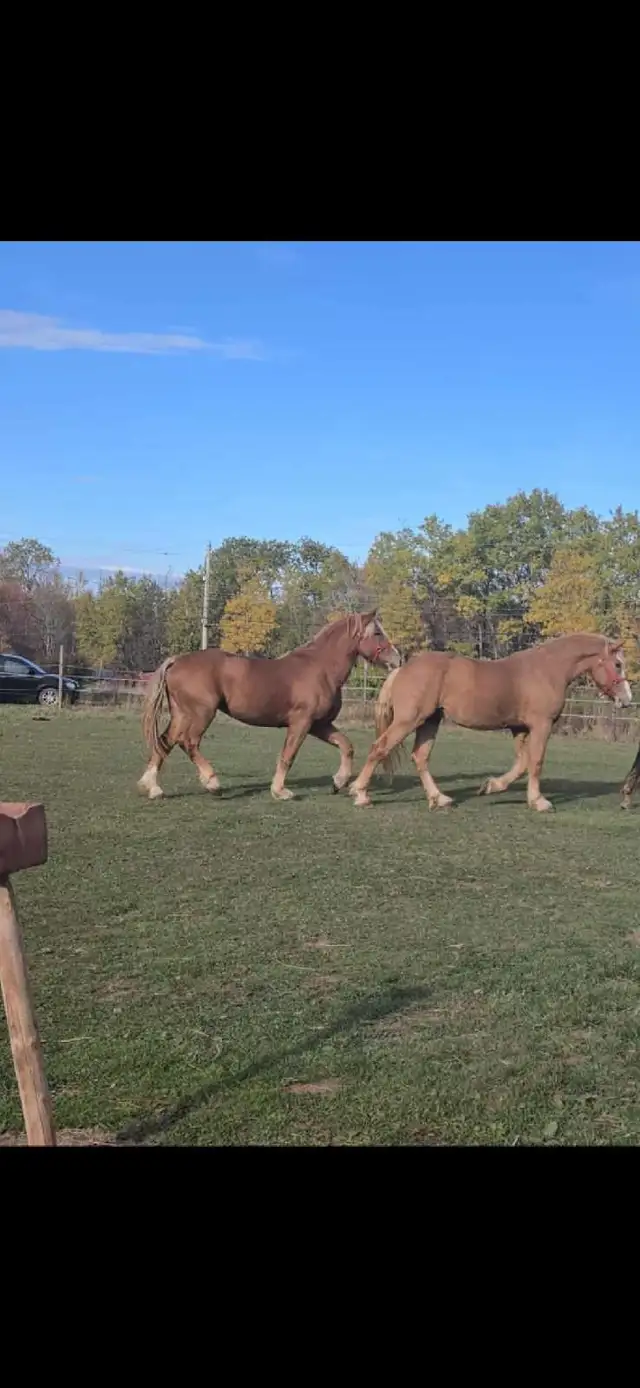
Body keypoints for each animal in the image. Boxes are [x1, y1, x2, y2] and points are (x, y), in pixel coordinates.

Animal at [138, 611, 400, 802]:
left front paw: (339, 782)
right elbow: (288, 755)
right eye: (377, 632)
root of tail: (176, 661)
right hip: (201, 714)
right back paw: (212, 783)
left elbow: (346, 746)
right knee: (188, 742)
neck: (321, 668)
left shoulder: (320, 725)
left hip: (182, 714)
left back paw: (153, 788)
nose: (398, 658)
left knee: (165, 742)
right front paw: (280, 791)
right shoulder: (301, 722)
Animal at [348, 633, 632, 813]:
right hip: (409, 720)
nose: (627, 700)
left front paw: (491, 786)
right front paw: (539, 801)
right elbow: (535, 762)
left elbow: (522, 763)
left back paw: (439, 798)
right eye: (618, 664)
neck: (547, 670)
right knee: (379, 748)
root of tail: (401, 669)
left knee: (420, 757)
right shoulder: (541, 725)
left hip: (430, 721)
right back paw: (360, 794)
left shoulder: (520, 728)